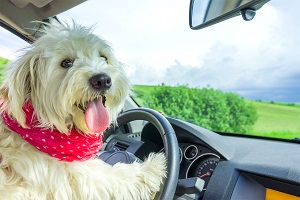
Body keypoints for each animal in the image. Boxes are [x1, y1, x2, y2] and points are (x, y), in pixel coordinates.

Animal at [0, 21, 166, 199]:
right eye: (66, 63)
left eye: (103, 57)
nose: (102, 80)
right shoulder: (78, 180)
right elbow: (116, 177)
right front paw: (153, 166)